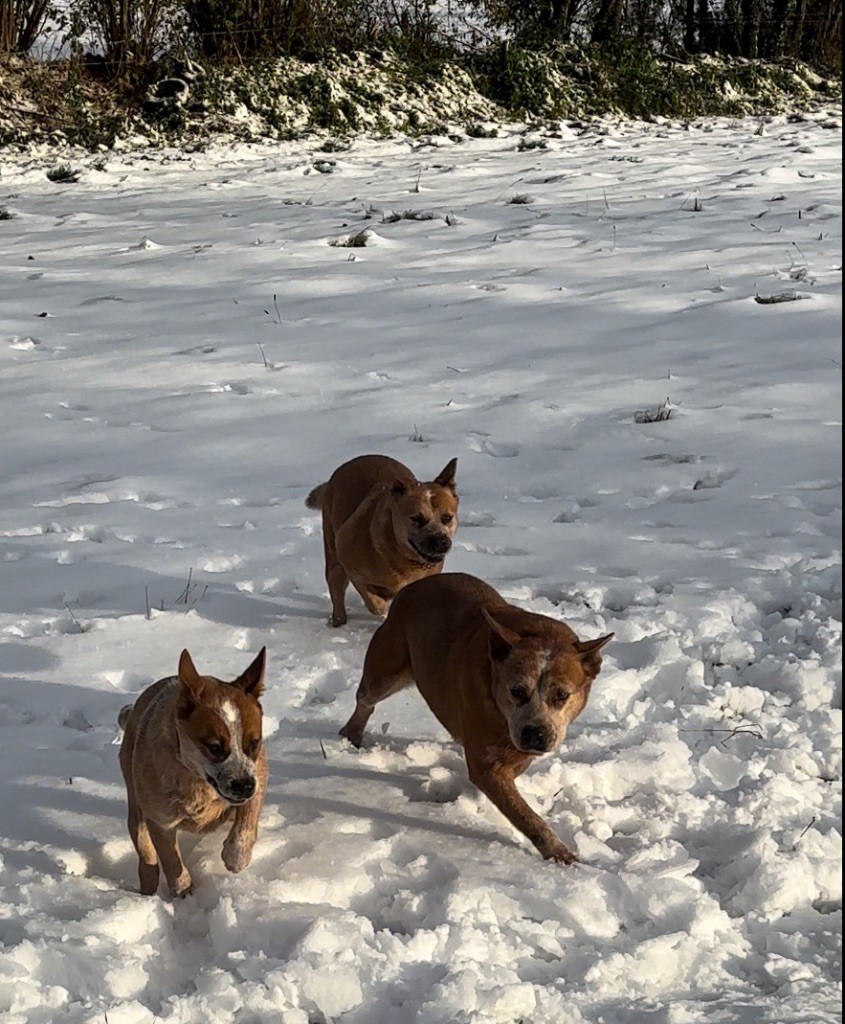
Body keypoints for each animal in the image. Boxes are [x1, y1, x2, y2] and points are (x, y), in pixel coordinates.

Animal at [117, 647, 266, 897]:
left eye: (253, 743)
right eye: (215, 747)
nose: (244, 786)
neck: (198, 784)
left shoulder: (259, 776)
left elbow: (247, 819)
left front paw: (235, 857)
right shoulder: (160, 820)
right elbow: (171, 861)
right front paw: (184, 892)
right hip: (135, 801)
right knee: (144, 848)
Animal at [305, 454, 458, 626]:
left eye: (447, 518)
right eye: (416, 518)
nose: (441, 542)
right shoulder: (348, 559)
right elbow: (375, 603)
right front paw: (384, 607)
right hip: (332, 550)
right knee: (336, 583)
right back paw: (339, 621)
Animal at [340, 573, 610, 868]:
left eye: (561, 695)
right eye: (516, 691)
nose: (534, 734)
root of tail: (416, 585)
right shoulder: (486, 762)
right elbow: (523, 813)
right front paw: (558, 852)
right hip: (387, 666)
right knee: (365, 698)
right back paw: (351, 733)